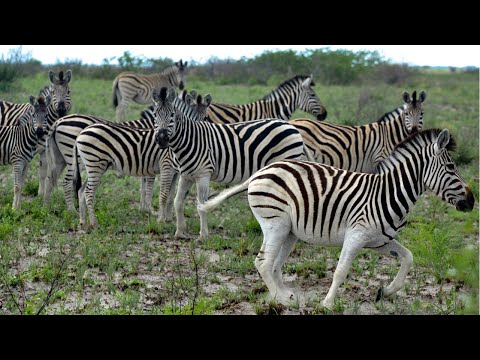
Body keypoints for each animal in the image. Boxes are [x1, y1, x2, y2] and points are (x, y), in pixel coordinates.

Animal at [0, 69, 71, 200]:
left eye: (68, 92)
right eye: (53, 92)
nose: (61, 110)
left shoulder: (43, 150)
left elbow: (42, 173)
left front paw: (40, 196)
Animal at [152, 86, 314, 242]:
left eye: (172, 115)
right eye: (155, 116)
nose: (162, 139)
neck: (189, 140)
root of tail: (291, 126)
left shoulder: (203, 175)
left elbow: (201, 205)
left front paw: (203, 236)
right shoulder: (186, 176)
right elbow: (178, 202)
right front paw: (180, 232)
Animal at [197, 128, 474, 308]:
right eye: (451, 168)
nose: (472, 202)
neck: (388, 193)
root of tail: (260, 172)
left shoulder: (380, 242)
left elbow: (408, 257)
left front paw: (385, 292)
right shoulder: (356, 236)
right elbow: (341, 271)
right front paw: (327, 304)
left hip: (290, 231)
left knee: (274, 265)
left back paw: (289, 295)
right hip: (276, 224)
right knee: (263, 263)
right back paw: (280, 299)